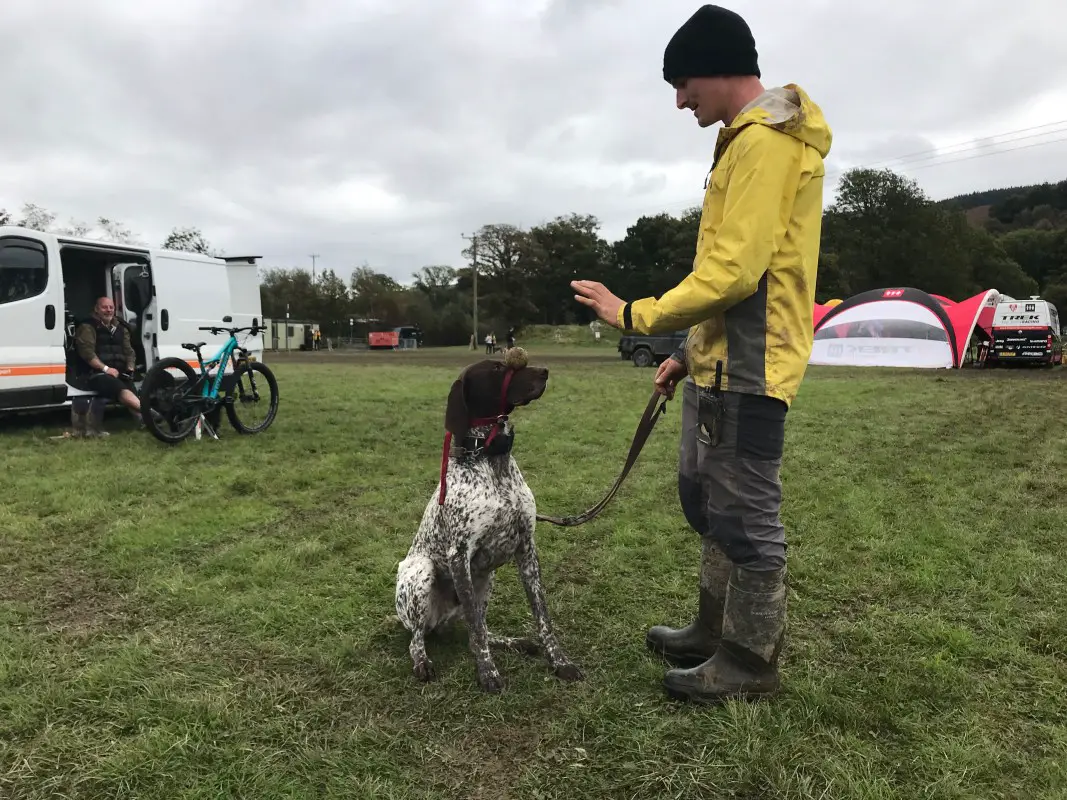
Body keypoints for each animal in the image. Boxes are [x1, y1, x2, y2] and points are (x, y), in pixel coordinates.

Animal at [396, 349, 584, 695]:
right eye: (497, 368)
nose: (545, 371)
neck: (491, 459)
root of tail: (439, 622)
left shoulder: (527, 548)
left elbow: (542, 617)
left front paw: (560, 661)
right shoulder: (459, 556)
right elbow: (476, 628)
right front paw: (487, 672)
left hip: (487, 578)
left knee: (477, 628)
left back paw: (511, 642)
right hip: (421, 573)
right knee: (419, 638)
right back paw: (422, 661)